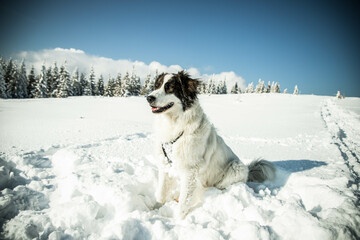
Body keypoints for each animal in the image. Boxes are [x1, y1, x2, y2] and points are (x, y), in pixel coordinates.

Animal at [146, 70, 276, 218]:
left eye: (170, 88)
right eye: (157, 86)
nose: (148, 98)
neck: (175, 125)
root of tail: (248, 171)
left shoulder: (190, 171)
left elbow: (184, 202)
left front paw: (178, 219)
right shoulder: (165, 164)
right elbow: (161, 192)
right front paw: (156, 208)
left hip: (236, 167)